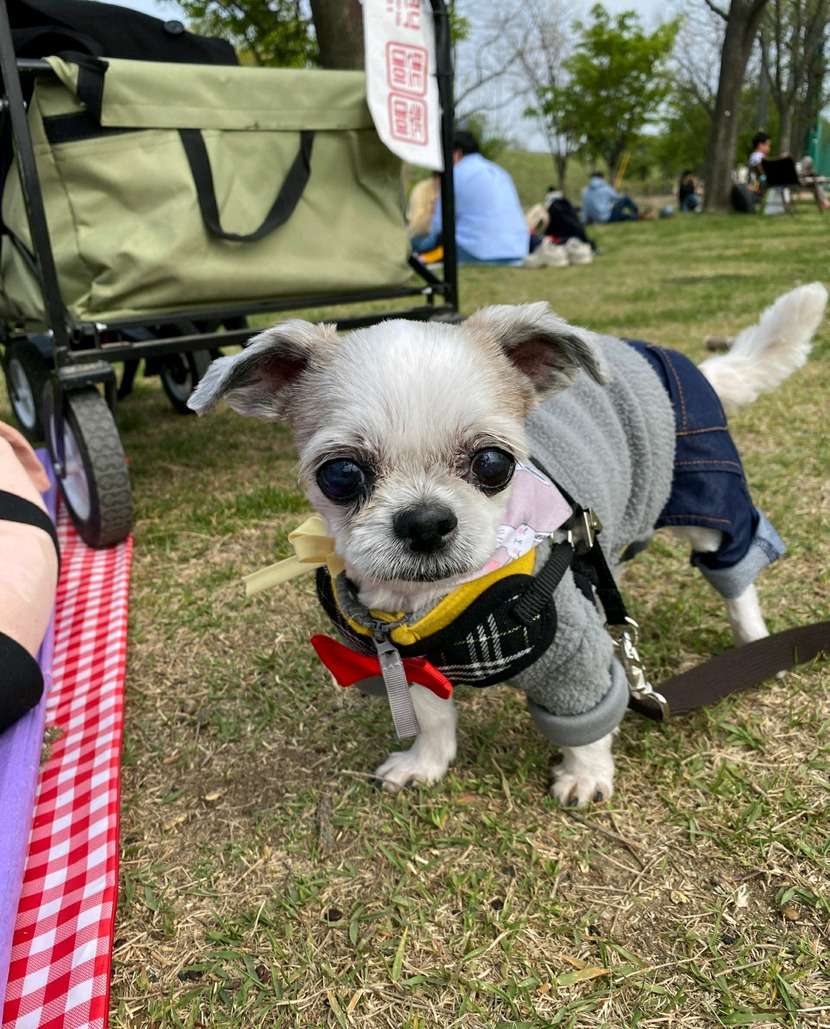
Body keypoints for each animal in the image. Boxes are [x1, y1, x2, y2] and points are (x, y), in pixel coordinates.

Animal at [188, 283, 826, 806]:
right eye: (340, 476)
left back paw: (754, 639)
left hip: (706, 496)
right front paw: (426, 762)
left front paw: (587, 775)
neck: (435, 608)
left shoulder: (573, 657)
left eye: (494, 464)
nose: (425, 521)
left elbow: (588, 723)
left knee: (736, 570)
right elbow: (432, 716)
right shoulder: (408, 665)